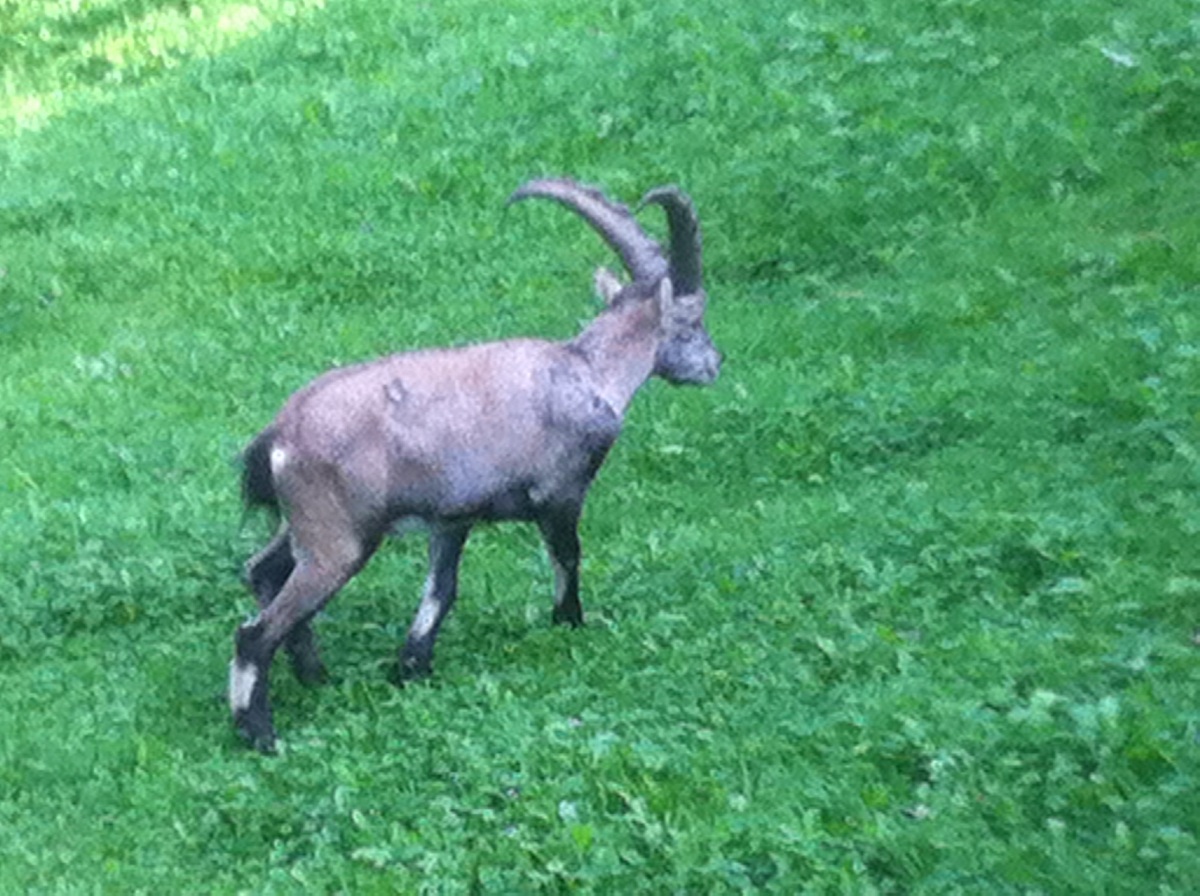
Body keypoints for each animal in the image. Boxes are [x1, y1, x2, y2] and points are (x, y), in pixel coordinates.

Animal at [230, 178, 721, 752]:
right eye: (693, 321)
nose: (714, 364)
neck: (588, 370)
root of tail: (278, 437)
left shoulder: (453, 519)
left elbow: (441, 591)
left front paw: (412, 668)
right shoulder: (561, 493)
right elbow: (567, 558)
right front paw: (569, 623)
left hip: (304, 527)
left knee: (262, 572)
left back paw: (315, 675)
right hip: (338, 540)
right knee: (253, 633)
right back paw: (260, 732)